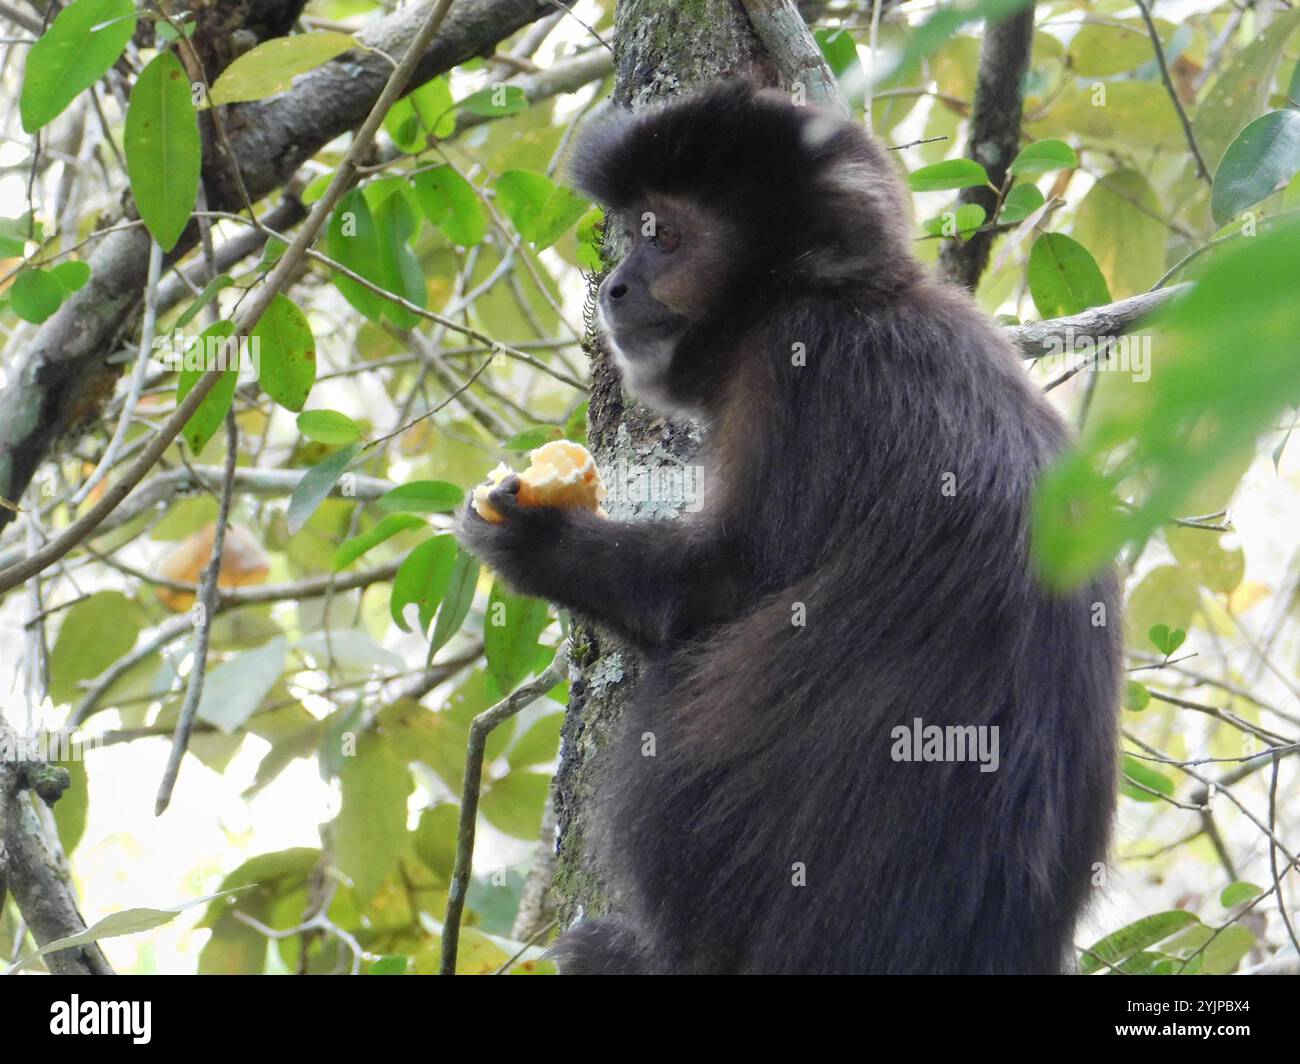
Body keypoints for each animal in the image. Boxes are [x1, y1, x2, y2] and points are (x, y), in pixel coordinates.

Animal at [457, 82, 1118, 967]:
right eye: (638, 234)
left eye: (665, 238)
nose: (616, 287)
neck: (839, 294)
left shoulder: (802, 356)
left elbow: (721, 587)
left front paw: (533, 539)